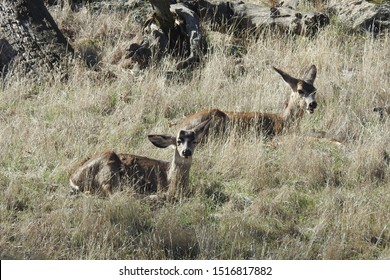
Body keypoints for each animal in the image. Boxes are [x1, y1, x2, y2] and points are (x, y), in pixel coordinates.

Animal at [69, 119, 210, 200]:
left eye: (195, 141)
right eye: (178, 141)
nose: (186, 151)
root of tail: (73, 179)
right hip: (108, 167)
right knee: (116, 194)